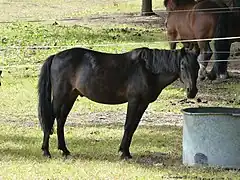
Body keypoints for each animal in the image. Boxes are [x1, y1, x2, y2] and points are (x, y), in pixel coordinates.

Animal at [37, 46, 199, 159]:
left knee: (60, 121)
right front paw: (124, 153)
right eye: (183, 66)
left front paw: (125, 151)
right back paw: (46, 151)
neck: (147, 69)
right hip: (60, 97)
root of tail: (55, 56)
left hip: (70, 97)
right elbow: (128, 125)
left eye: (197, 66)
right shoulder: (134, 101)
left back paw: (64, 150)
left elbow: (133, 127)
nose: (192, 91)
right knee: (51, 120)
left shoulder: (143, 104)